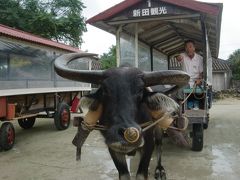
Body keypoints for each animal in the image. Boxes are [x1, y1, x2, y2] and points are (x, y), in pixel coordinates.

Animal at [54, 52, 189, 179]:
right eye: (105, 89)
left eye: (140, 90)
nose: (125, 133)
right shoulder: (113, 147)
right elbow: (124, 174)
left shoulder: (149, 143)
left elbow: (141, 174)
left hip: (159, 128)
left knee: (159, 146)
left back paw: (159, 169)